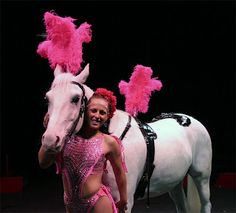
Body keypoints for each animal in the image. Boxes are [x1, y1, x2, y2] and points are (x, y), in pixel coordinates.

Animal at [41, 64, 213, 213]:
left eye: (75, 98)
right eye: (47, 99)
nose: (50, 139)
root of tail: (187, 119)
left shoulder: (124, 202)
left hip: (202, 178)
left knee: (206, 203)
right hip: (174, 182)